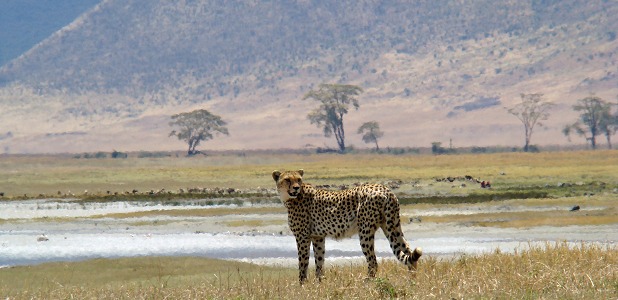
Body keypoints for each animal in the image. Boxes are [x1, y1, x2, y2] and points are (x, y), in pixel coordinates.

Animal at [272, 170, 422, 282]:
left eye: (298, 179)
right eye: (287, 180)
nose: (296, 188)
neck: (290, 198)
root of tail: (384, 189)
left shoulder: (302, 237)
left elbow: (302, 263)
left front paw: (302, 284)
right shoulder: (318, 237)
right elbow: (319, 262)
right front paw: (320, 283)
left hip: (365, 232)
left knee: (373, 261)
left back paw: (367, 282)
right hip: (392, 226)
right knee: (409, 253)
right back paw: (412, 281)